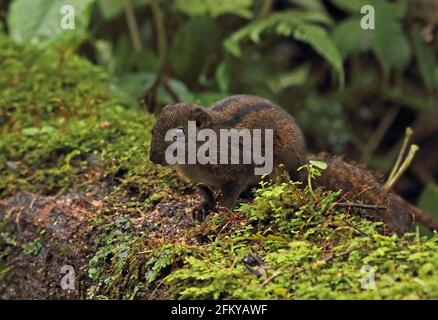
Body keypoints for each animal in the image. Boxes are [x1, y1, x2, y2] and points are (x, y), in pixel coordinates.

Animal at [151, 95, 438, 235]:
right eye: (154, 128)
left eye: (178, 135)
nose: (153, 158)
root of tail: (302, 162)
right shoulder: (202, 179)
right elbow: (206, 191)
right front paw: (202, 207)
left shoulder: (238, 166)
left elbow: (231, 191)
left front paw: (223, 210)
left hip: (277, 169)